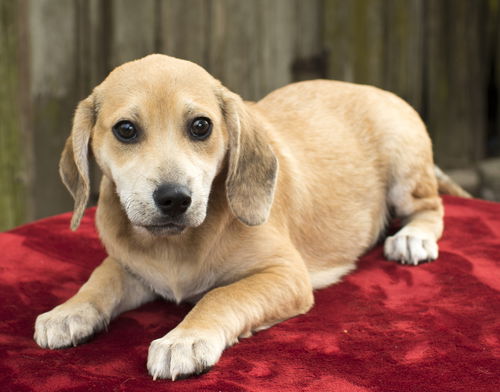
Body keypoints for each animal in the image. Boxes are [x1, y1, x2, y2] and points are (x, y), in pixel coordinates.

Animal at [33, 54, 466, 380]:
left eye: (201, 126)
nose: (174, 199)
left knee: (431, 207)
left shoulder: (285, 274)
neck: (174, 245)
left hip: (404, 167)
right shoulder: (132, 268)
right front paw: (69, 311)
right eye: (125, 130)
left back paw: (412, 238)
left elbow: (221, 296)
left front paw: (183, 339)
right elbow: (100, 279)